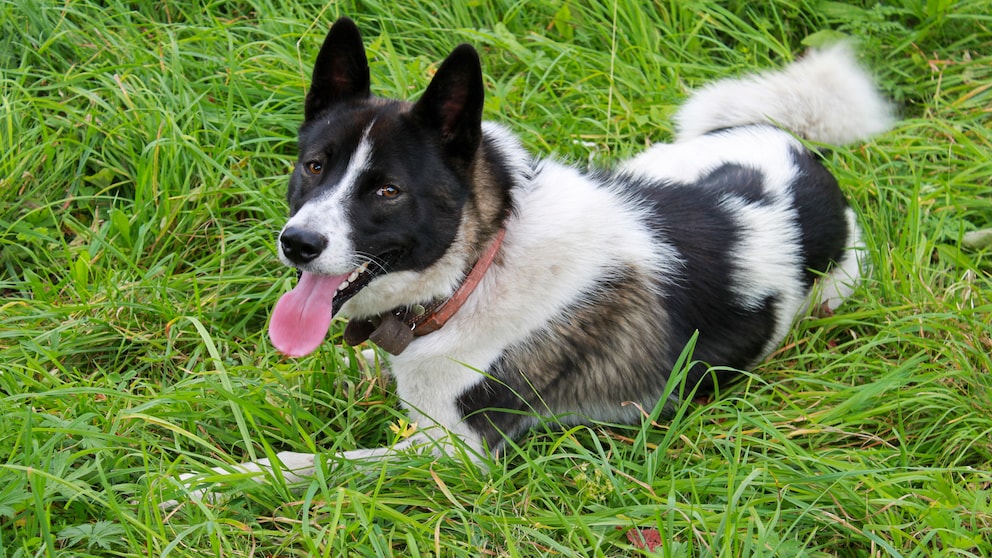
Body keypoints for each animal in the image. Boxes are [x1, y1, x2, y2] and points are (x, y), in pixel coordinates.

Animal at [167, 18, 896, 508]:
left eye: (387, 191)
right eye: (315, 166)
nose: (298, 244)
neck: (477, 267)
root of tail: (799, 149)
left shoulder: (454, 454)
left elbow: (313, 463)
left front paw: (212, 480)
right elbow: (305, 377)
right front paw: (193, 399)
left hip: (835, 285)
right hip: (655, 162)